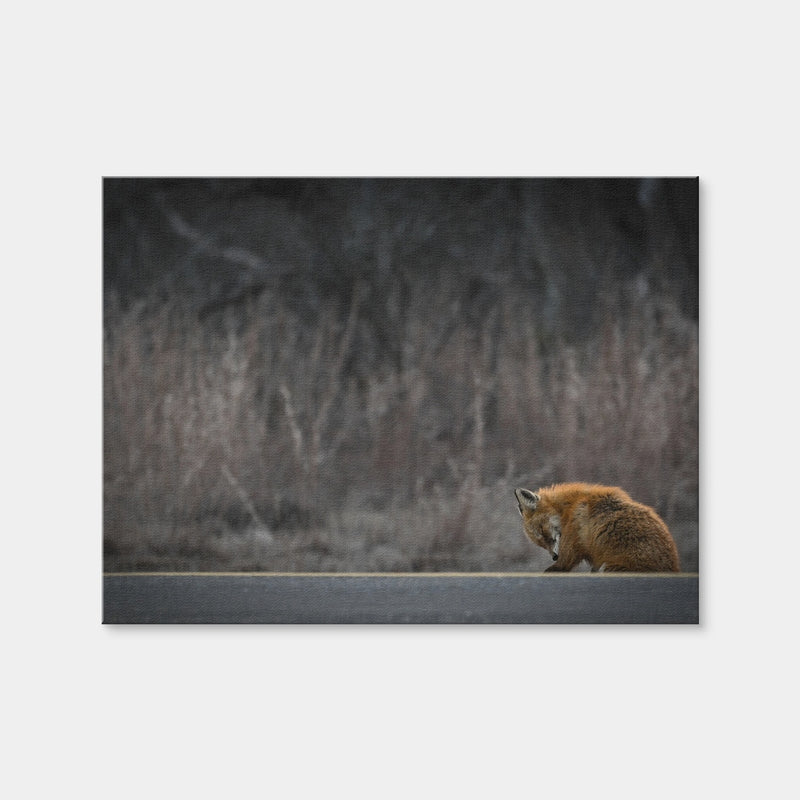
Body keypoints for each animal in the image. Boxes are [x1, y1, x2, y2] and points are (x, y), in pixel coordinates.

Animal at [514, 483, 680, 572]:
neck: (569, 507)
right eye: (540, 543)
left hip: (607, 568)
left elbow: (561, 564)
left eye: (542, 531)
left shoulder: (570, 551)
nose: (554, 556)